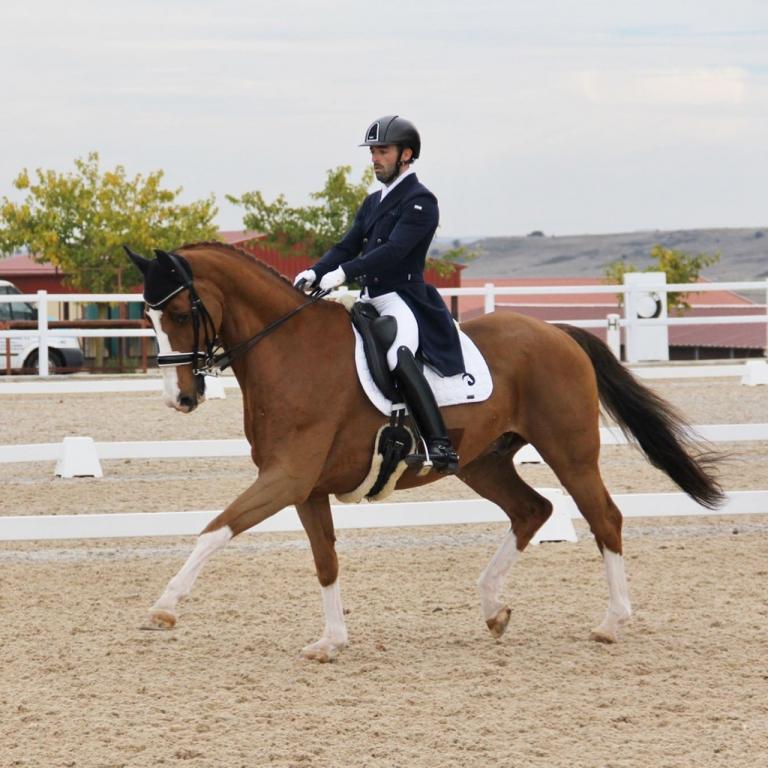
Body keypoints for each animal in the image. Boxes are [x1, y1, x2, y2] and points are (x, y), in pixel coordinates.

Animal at [126, 241, 722, 662]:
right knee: (533, 510)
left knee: (604, 518)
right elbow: (325, 560)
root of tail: (556, 331)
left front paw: (163, 609)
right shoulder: (305, 488)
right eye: (147, 317)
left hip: (570, 451)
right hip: (483, 462)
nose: (181, 398)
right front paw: (331, 641)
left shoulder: (287, 477)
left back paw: (611, 623)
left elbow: (215, 530)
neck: (289, 350)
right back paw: (493, 609)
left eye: (180, 313)